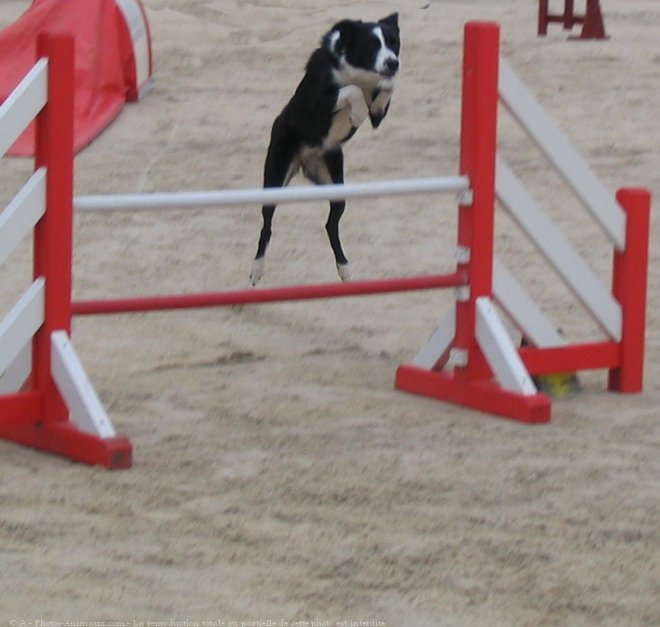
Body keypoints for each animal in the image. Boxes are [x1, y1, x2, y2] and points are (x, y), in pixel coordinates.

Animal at [250, 14, 400, 284]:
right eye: (371, 45)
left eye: (394, 43)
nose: (393, 63)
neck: (359, 73)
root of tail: (304, 159)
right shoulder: (319, 101)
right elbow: (352, 91)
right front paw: (356, 114)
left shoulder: (378, 115)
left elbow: (386, 88)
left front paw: (378, 91)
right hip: (275, 177)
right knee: (266, 225)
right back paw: (257, 270)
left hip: (336, 186)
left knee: (331, 225)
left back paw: (345, 269)